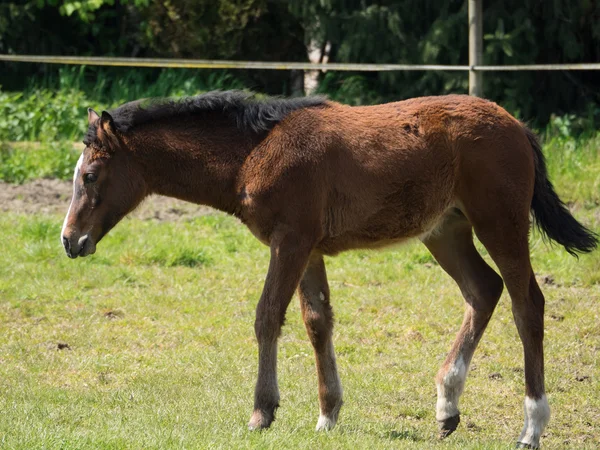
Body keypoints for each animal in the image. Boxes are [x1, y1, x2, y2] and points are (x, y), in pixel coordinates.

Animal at [59, 89, 596, 448]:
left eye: (91, 175)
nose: (69, 240)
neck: (254, 152)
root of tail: (518, 126)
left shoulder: (290, 240)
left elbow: (268, 315)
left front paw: (262, 411)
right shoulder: (309, 247)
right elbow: (317, 320)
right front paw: (328, 414)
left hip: (499, 223)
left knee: (528, 303)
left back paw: (531, 426)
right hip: (446, 230)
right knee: (484, 290)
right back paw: (447, 406)